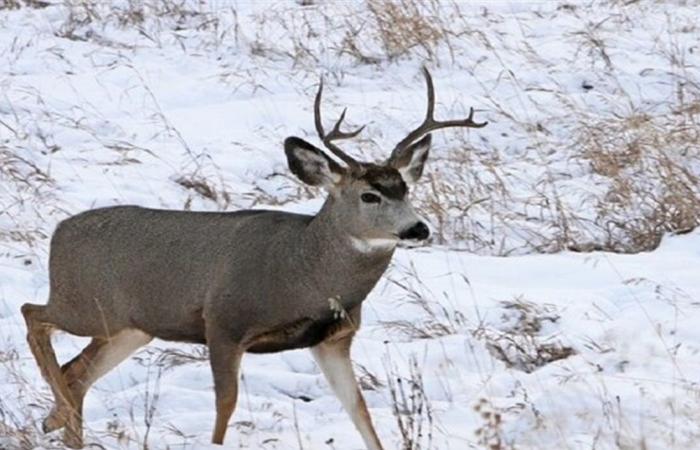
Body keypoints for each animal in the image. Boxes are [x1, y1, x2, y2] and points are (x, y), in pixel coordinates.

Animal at [23, 67, 486, 450]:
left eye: (404, 189)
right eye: (369, 195)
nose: (417, 229)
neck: (306, 273)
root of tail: (59, 233)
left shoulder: (333, 339)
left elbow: (360, 412)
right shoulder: (224, 322)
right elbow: (225, 406)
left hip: (128, 327)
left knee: (76, 372)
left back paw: (59, 422)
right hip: (83, 305)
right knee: (33, 315)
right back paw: (56, 415)